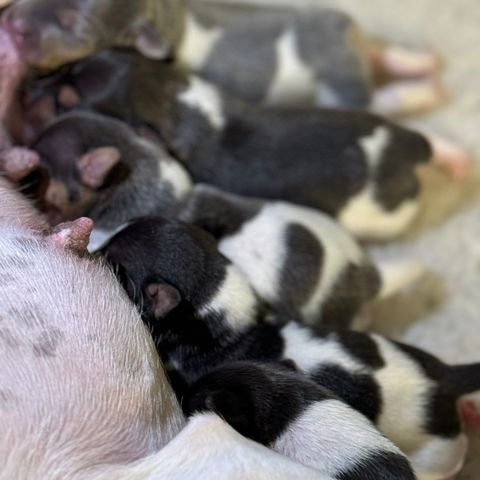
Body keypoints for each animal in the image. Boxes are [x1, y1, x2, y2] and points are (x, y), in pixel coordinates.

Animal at [24, 48, 456, 240]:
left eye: (65, 101)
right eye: (68, 65)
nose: (26, 92)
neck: (173, 97)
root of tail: (403, 148)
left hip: (378, 218)